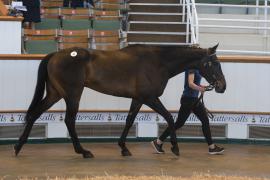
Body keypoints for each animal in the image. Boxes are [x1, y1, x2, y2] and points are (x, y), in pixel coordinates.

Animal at [14, 44, 226, 158]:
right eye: (214, 63)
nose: (222, 86)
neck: (158, 62)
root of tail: (55, 55)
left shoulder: (138, 99)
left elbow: (130, 120)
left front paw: (124, 148)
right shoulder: (150, 98)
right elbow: (169, 117)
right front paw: (174, 147)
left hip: (55, 93)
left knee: (34, 114)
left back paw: (18, 147)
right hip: (72, 94)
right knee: (69, 121)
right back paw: (83, 151)